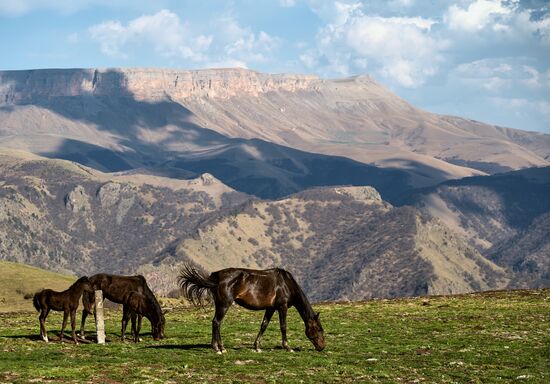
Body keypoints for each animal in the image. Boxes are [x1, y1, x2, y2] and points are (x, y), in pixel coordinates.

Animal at [179, 266, 326, 352]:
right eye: (319, 329)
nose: (322, 347)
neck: (286, 283)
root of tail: (217, 275)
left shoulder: (270, 308)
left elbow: (264, 325)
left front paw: (257, 346)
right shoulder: (282, 307)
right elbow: (283, 326)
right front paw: (287, 347)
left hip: (220, 304)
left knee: (215, 323)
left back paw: (217, 346)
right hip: (224, 304)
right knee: (216, 322)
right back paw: (219, 348)